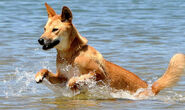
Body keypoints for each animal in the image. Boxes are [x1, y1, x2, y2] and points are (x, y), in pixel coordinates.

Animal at [35, 2, 185, 97]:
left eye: (55, 30)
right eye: (44, 29)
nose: (40, 40)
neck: (71, 55)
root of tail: (151, 87)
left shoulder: (99, 74)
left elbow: (78, 78)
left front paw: (73, 83)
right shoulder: (61, 77)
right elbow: (46, 70)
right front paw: (39, 75)